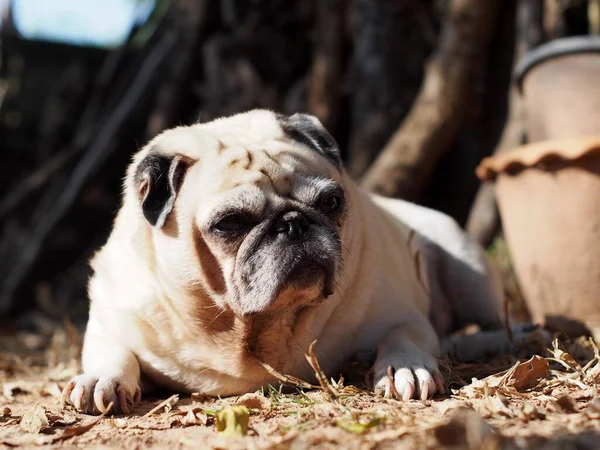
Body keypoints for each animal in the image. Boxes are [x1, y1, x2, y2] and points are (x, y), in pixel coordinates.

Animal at [62, 110, 506, 414]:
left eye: (332, 202)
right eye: (230, 223)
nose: (293, 223)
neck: (259, 328)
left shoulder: (402, 315)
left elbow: (403, 335)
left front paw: (404, 368)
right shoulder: (113, 322)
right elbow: (112, 351)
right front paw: (102, 378)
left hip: (466, 267)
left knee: (499, 325)